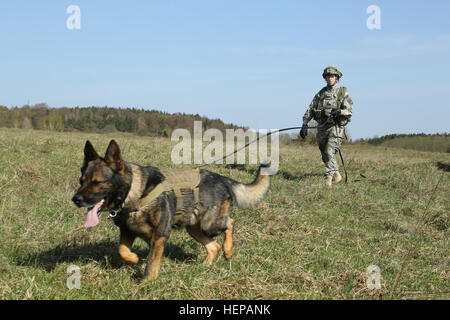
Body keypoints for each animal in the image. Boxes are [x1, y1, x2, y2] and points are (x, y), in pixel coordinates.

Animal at [72, 141, 270, 278]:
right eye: (81, 181)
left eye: (97, 182)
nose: (76, 200)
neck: (136, 192)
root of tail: (223, 178)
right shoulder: (127, 232)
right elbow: (122, 251)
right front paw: (134, 259)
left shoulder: (160, 235)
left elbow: (151, 264)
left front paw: (146, 283)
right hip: (194, 228)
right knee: (214, 246)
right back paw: (204, 267)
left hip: (209, 224)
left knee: (230, 223)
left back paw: (228, 250)